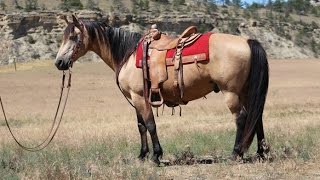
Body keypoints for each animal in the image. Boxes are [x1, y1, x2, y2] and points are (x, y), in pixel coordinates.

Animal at [55, 15, 270, 165]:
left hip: (231, 92)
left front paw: (156, 156)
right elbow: (141, 126)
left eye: (73, 37)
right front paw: (142, 155)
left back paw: (235, 153)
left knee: (241, 118)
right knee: (256, 116)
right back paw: (261, 152)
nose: (59, 62)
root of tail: (248, 41)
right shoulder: (135, 99)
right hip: (246, 91)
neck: (127, 54)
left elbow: (150, 124)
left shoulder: (140, 97)